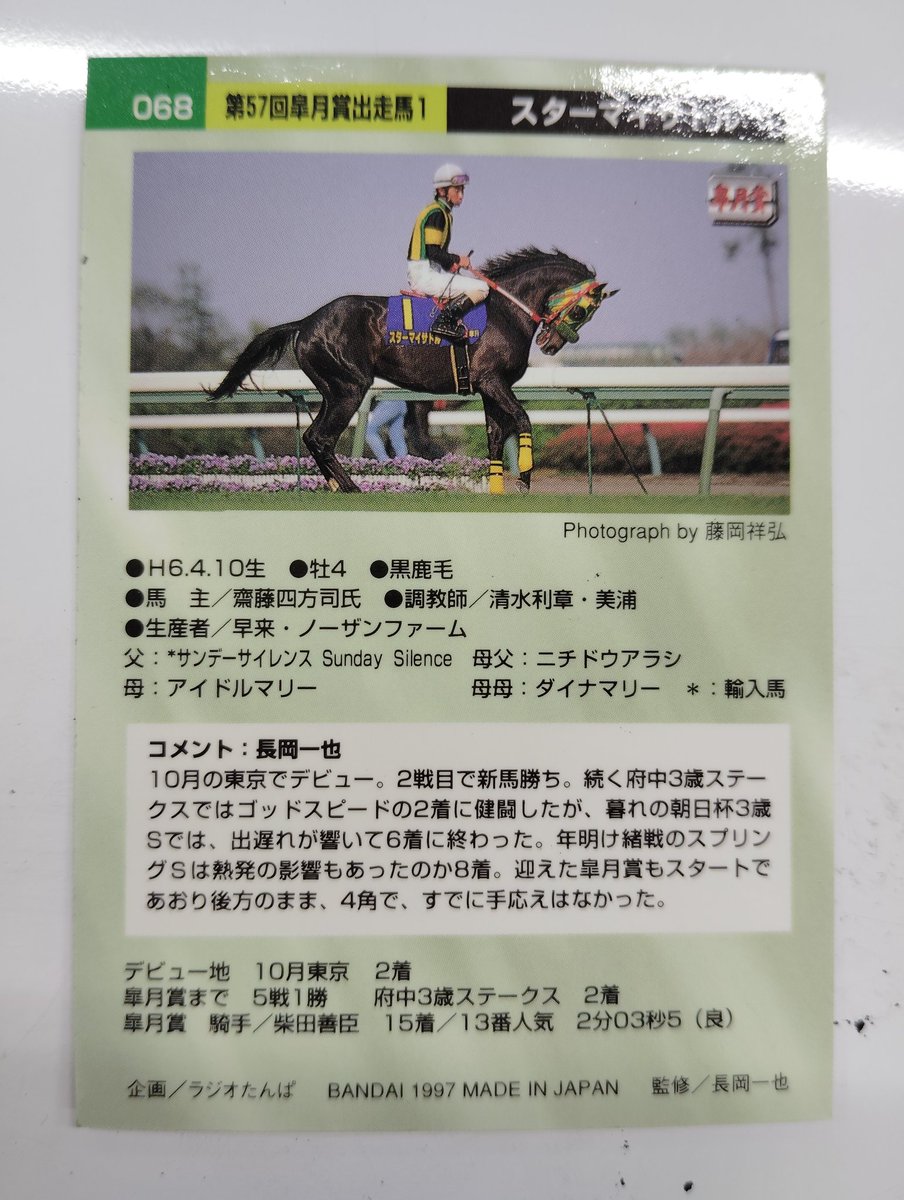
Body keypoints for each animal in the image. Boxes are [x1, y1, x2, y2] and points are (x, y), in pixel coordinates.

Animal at [208, 247, 615, 494]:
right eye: (583, 311)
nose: (552, 344)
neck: (504, 311)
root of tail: (306, 321)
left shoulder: (487, 388)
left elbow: (495, 436)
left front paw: (498, 490)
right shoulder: (492, 381)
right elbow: (523, 420)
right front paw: (525, 480)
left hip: (332, 390)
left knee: (312, 437)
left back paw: (339, 487)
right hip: (350, 388)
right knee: (320, 438)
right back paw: (352, 489)